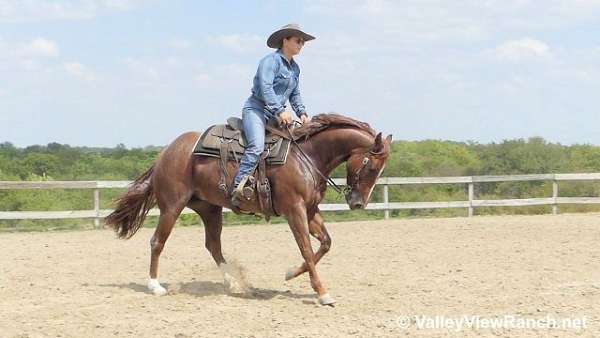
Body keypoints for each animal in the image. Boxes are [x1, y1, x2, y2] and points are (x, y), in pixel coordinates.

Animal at [104, 114, 394, 306]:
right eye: (370, 166)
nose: (358, 203)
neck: (308, 156)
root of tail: (166, 152)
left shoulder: (310, 210)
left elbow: (325, 243)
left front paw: (291, 273)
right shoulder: (294, 210)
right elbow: (307, 250)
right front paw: (322, 293)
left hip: (209, 209)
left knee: (213, 245)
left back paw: (233, 283)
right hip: (172, 207)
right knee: (157, 242)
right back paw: (155, 286)